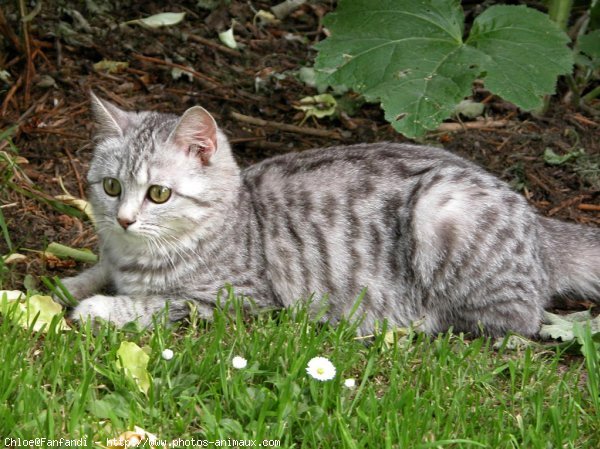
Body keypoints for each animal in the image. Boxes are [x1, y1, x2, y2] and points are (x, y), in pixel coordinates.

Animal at [56, 93, 600, 336]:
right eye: (111, 187)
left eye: (159, 194)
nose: (124, 219)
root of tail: (538, 222)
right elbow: (94, 272)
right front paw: (70, 285)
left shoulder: (244, 301)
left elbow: (157, 305)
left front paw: (100, 308)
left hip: (441, 210)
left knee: (509, 321)